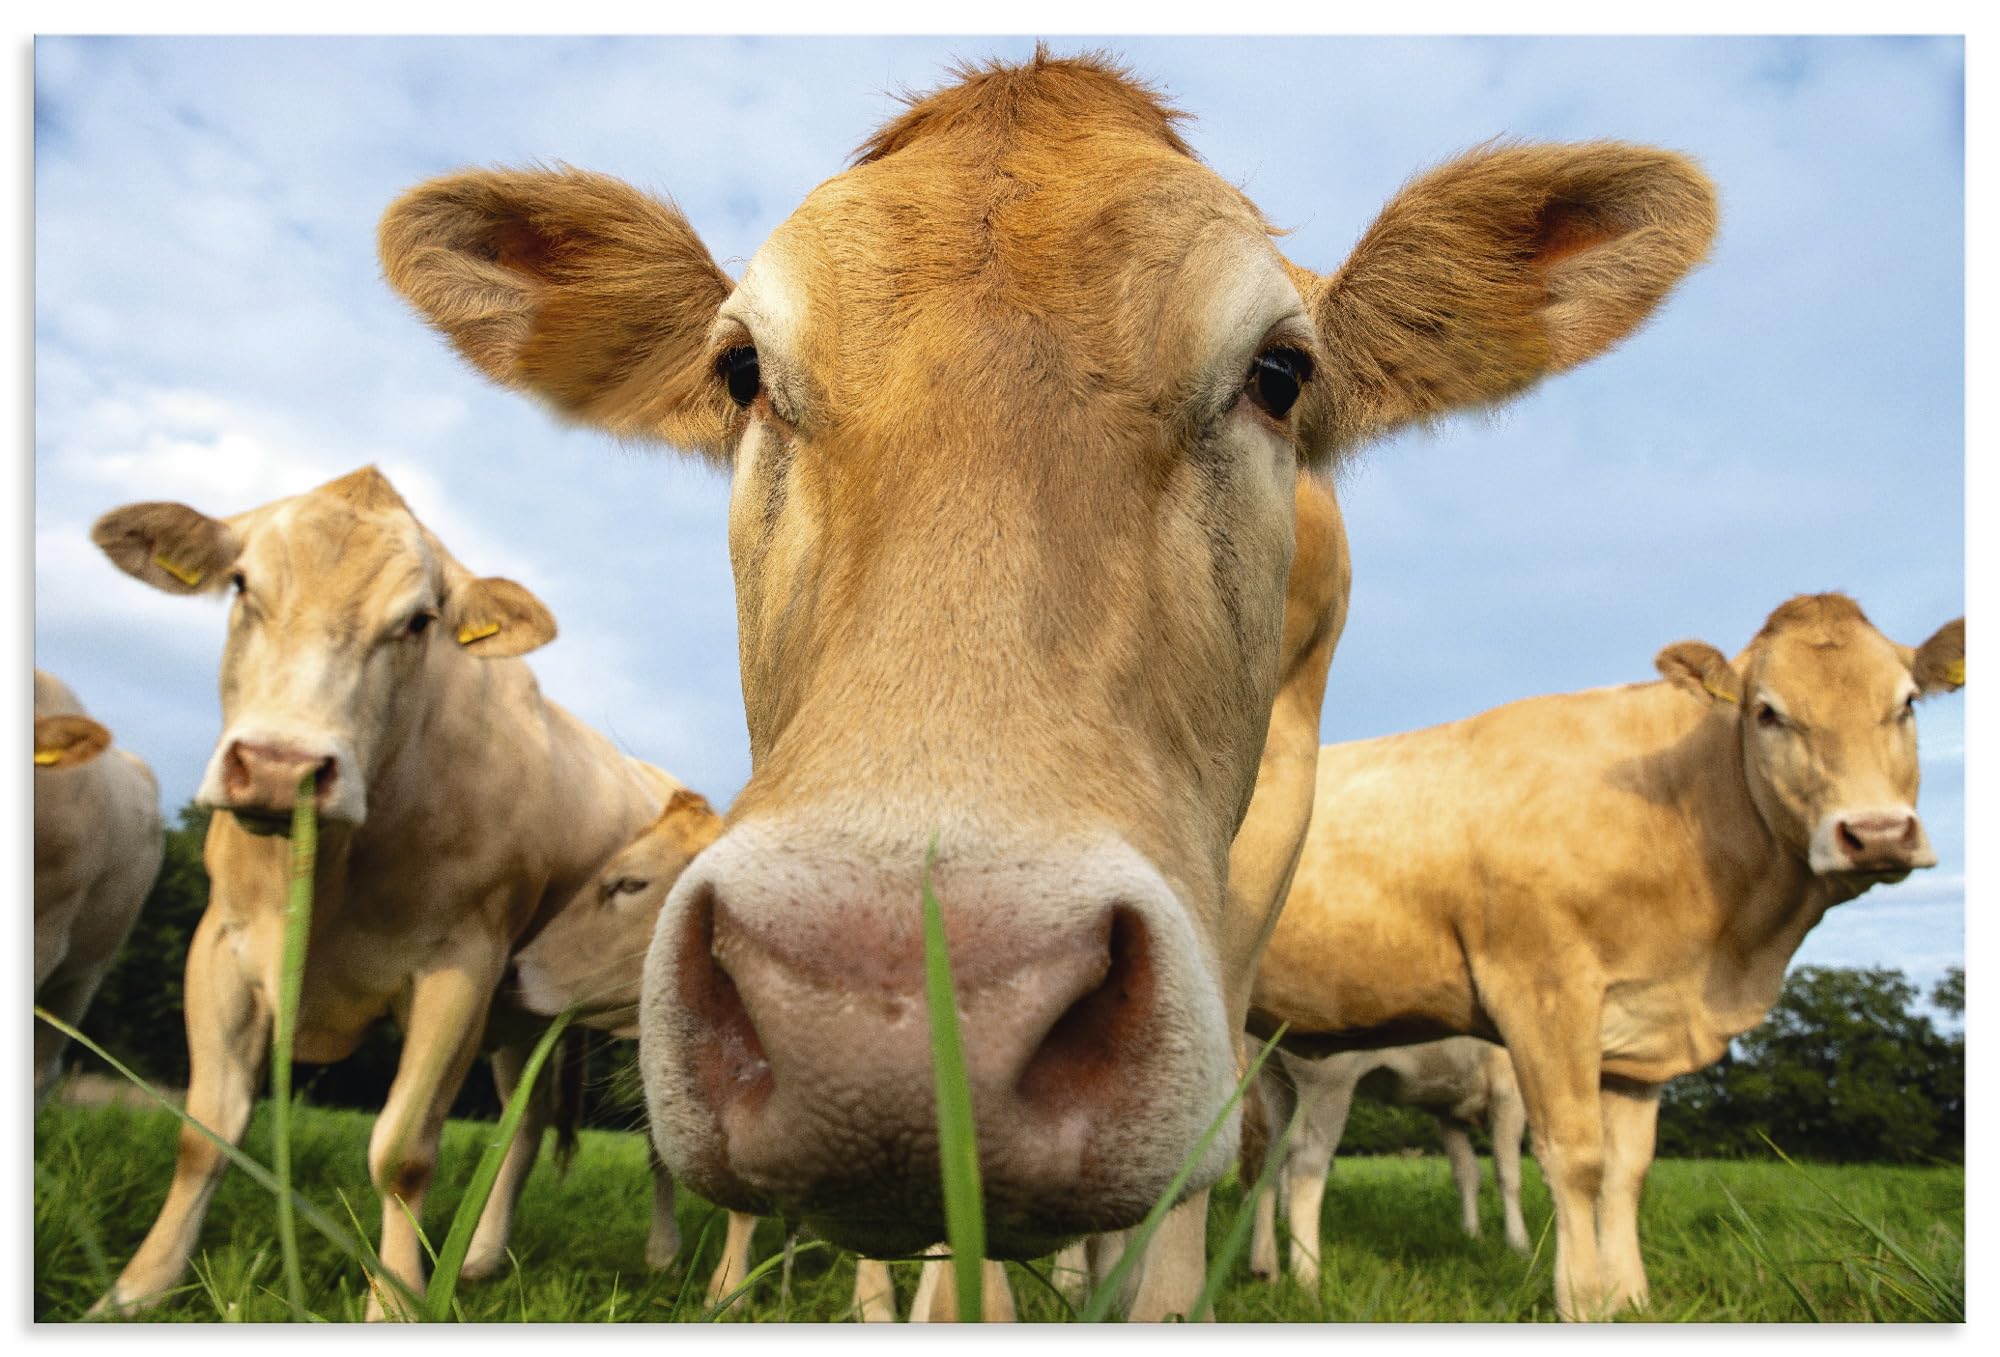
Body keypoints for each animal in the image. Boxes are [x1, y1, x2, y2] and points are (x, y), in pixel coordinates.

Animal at [85, 466, 677, 1319]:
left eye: (418, 621)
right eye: (242, 585)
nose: (282, 766)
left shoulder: (458, 970)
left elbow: (402, 1151)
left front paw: (397, 1300)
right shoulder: (220, 949)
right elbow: (205, 1131)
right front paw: (137, 1288)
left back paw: (657, 1255)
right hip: (524, 1017)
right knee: (524, 1123)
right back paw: (482, 1256)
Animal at [1244, 1038, 1531, 1291]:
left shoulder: (1447, 1111)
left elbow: (1466, 1174)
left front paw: (1472, 1233)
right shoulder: (1509, 1091)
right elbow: (1508, 1173)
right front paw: (1519, 1245)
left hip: (1273, 1077)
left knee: (1269, 1157)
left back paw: (1265, 1268)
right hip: (1326, 1077)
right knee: (1306, 1162)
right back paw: (1307, 1279)